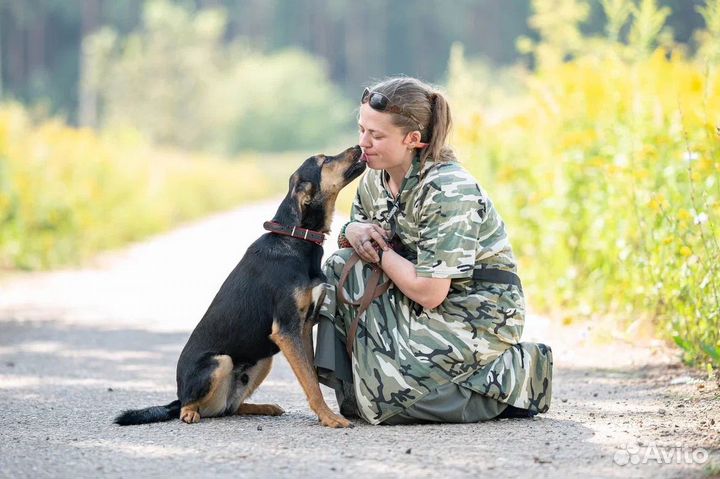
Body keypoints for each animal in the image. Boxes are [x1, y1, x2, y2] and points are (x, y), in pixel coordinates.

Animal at [117, 145, 366, 428]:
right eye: (324, 161)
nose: (358, 146)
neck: (297, 237)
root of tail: (179, 397)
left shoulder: (302, 328)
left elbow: (311, 376)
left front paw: (325, 414)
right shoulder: (286, 329)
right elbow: (311, 383)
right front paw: (330, 418)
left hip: (264, 359)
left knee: (229, 407)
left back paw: (264, 407)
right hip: (220, 362)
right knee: (191, 406)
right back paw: (190, 412)